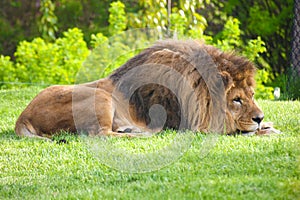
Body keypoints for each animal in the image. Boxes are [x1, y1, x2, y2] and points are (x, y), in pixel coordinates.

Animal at [15, 39, 280, 139]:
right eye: (236, 100)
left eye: (252, 96)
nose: (259, 117)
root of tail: (23, 116)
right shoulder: (193, 126)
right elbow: (235, 130)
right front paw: (264, 130)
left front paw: (268, 125)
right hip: (100, 97)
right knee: (101, 134)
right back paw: (141, 133)